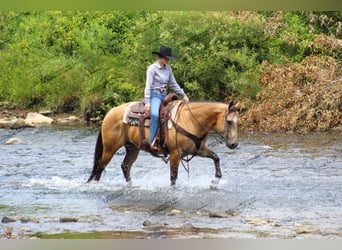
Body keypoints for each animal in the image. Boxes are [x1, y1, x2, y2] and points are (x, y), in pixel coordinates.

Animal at [87, 98, 239, 186]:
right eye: (229, 121)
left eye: (239, 122)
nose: (234, 144)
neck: (190, 120)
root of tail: (109, 112)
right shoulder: (175, 154)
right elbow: (173, 177)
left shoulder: (199, 149)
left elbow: (216, 157)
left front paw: (215, 180)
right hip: (110, 148)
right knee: (100, 166)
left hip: (132, 148)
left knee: (125, 166)